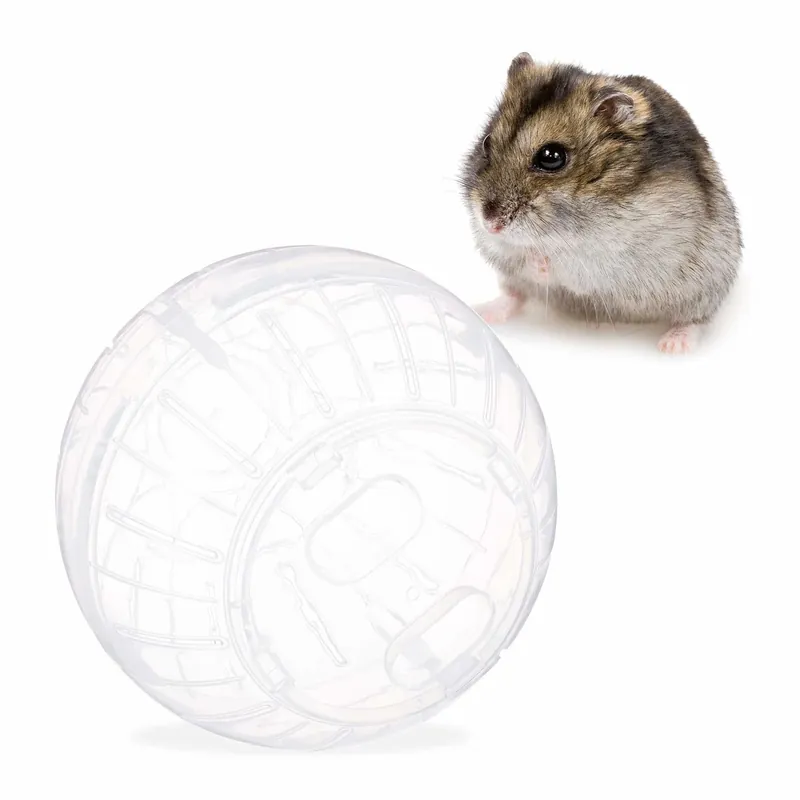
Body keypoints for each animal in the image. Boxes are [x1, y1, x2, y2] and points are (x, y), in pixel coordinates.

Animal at [461, 53, 742, 353]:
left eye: (551, 156)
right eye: (486, 143)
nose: (491, 223)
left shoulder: (612, 257)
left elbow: (564, 262)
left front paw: (542, 259)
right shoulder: (493, 245)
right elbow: (512, 255)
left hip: (705, 287)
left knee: (696, 320)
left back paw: (673, 345)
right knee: (515, 295)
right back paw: (483, 312)